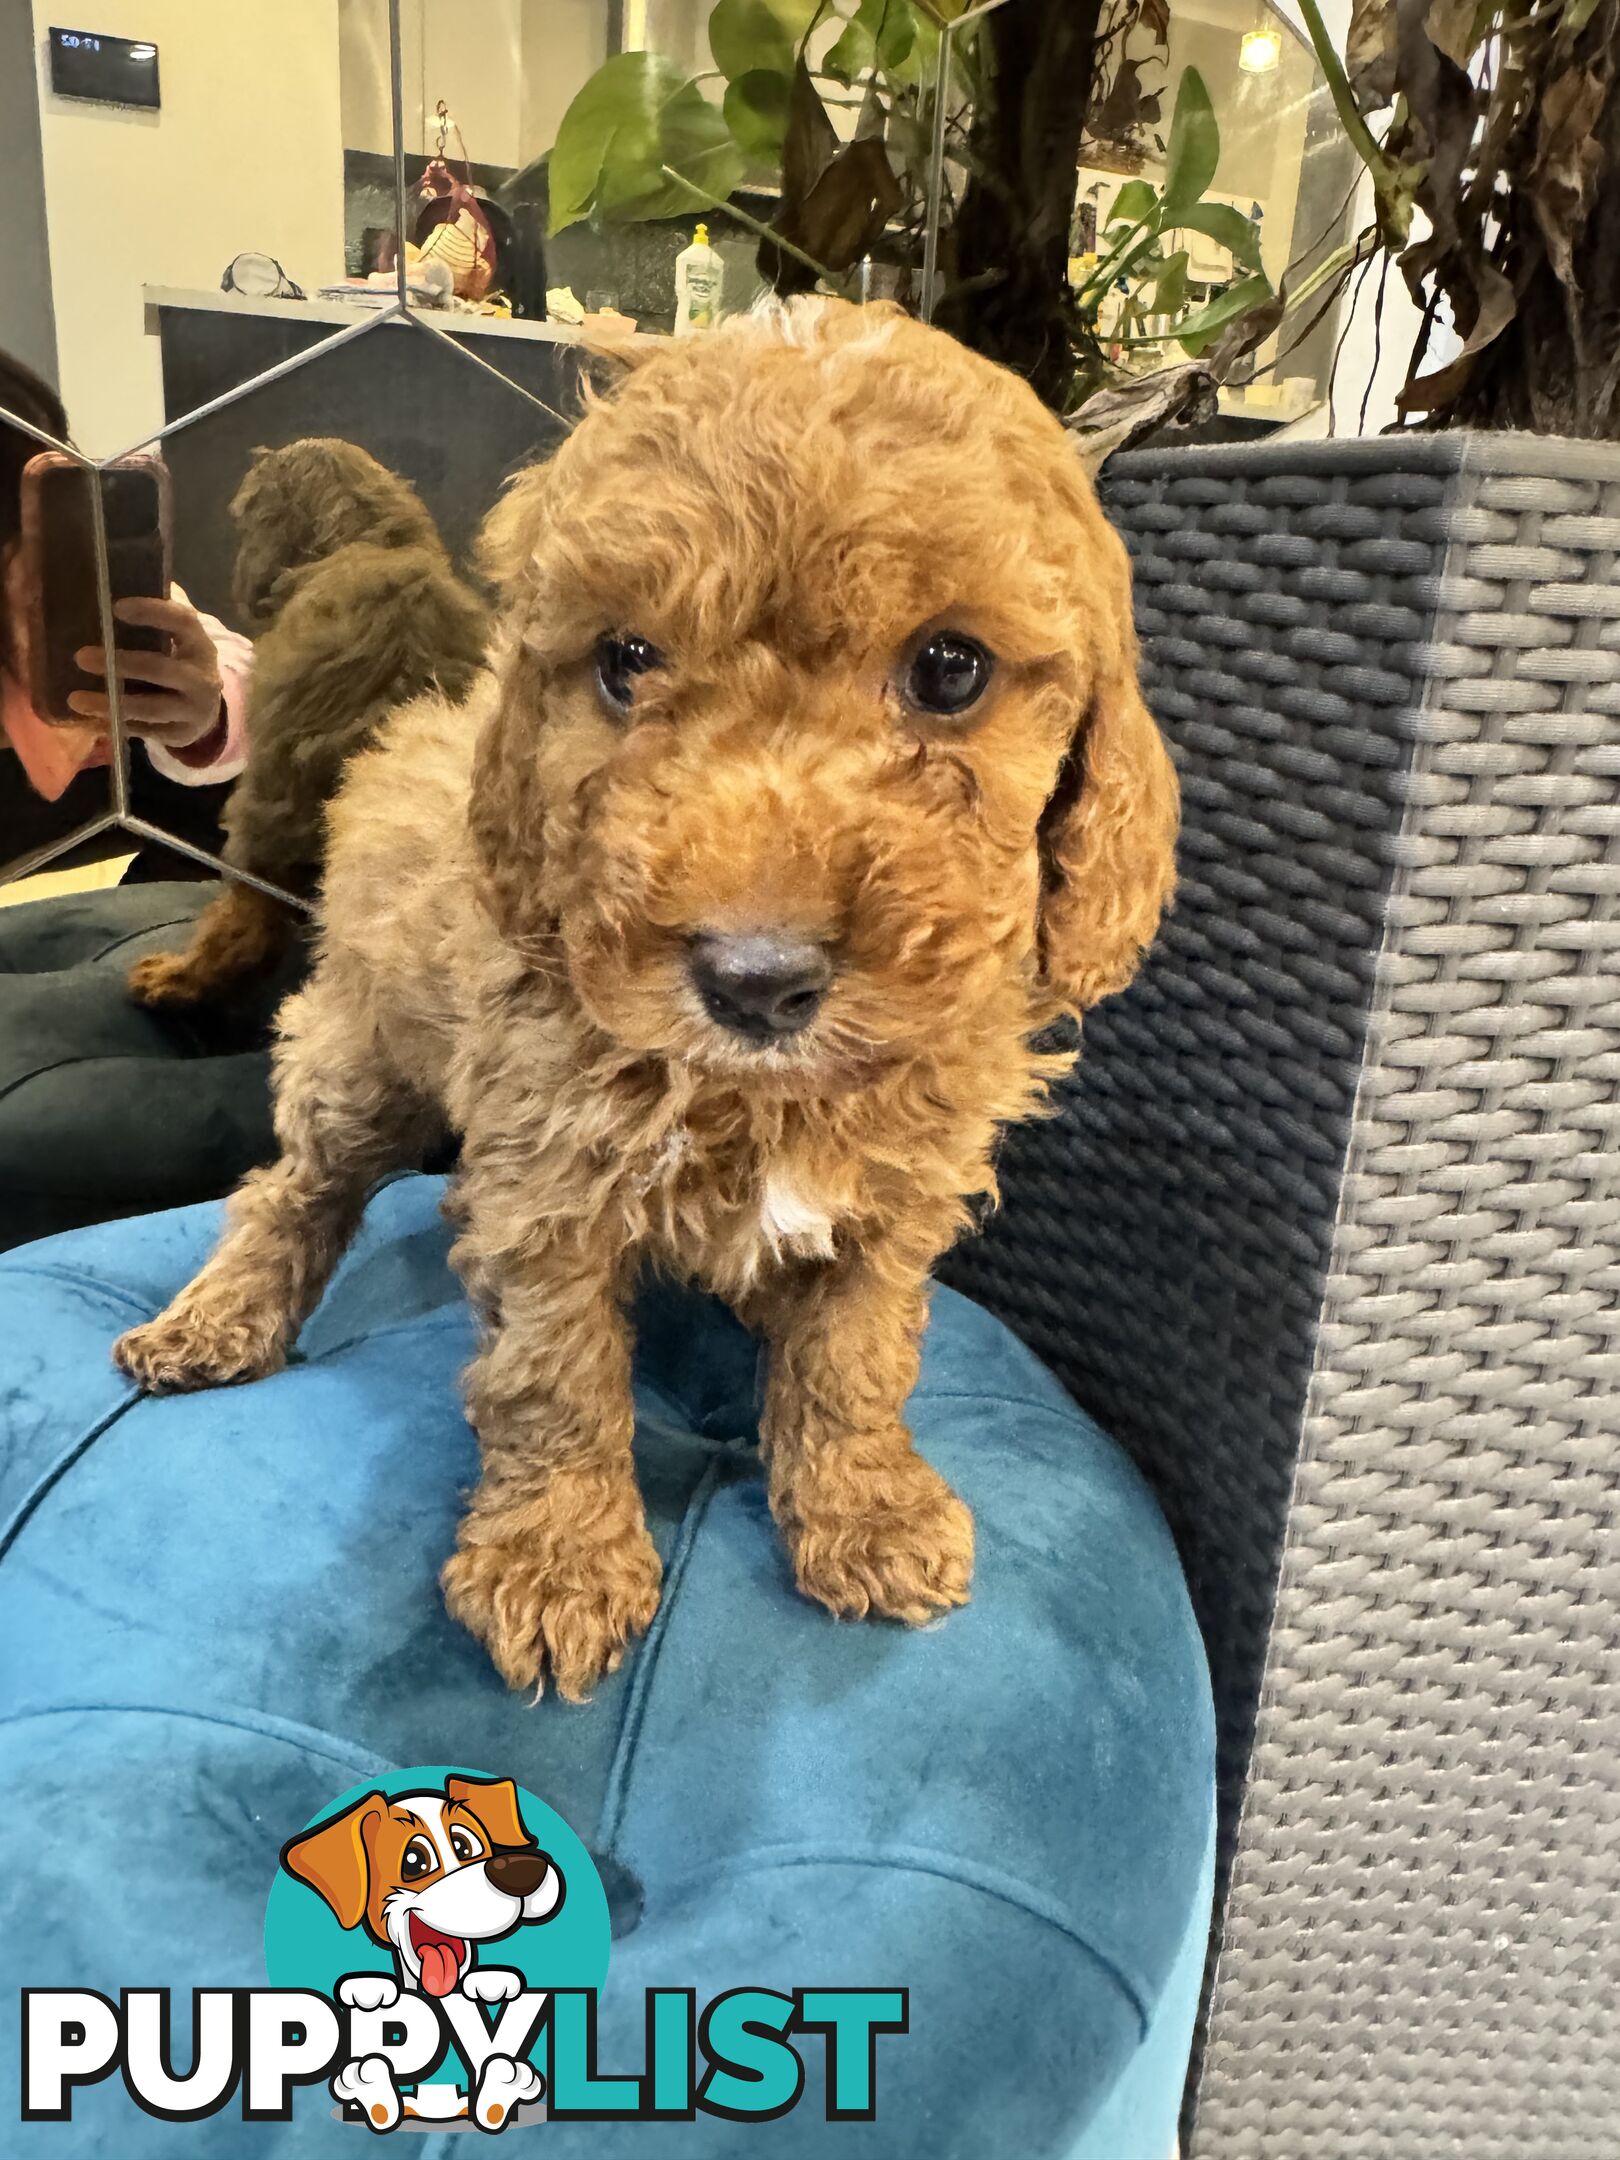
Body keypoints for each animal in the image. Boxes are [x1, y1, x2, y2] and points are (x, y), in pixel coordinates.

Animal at [114, 295, 1183, 1693]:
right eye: (627, 662)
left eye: (951, 668)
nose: (757, 979)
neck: (758, 1097)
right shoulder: (550, 1182)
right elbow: (554, 1373)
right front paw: (557, 1562)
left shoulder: (896, 1196)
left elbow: (857, 1354)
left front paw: (866, 1507)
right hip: (361, 1054)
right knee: (295, 1187)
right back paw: (222, 1315)